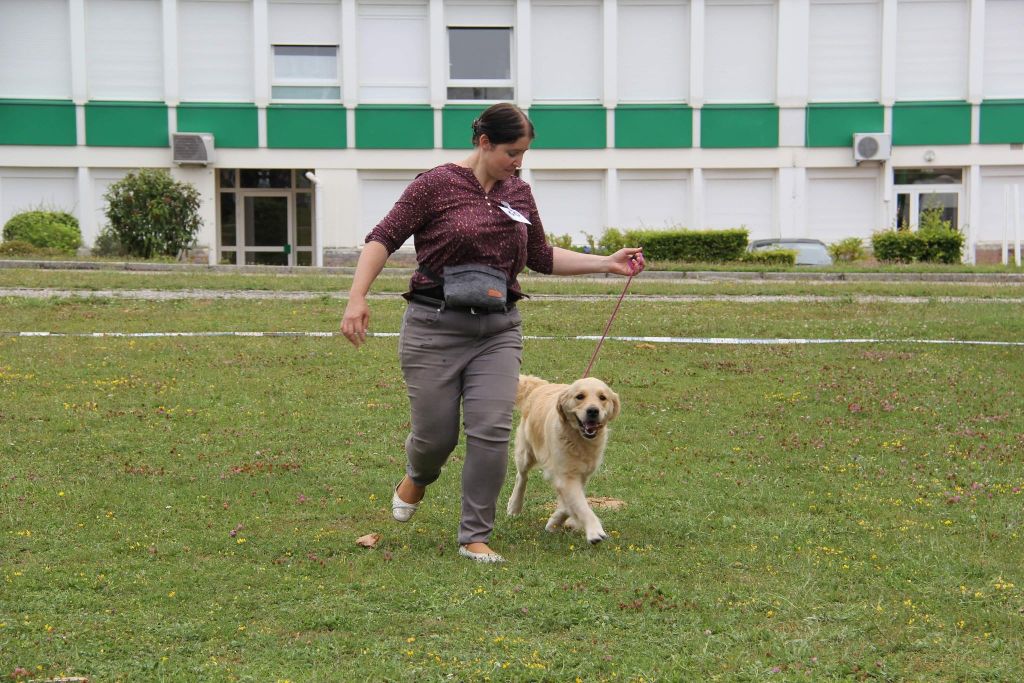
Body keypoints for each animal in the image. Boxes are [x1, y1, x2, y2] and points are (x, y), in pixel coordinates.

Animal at [505, 374, 618, 544]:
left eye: (602, 397)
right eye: (580, 396)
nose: (593, 410)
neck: (579, 439)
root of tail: (541, 386)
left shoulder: (581, 474)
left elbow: (569, 504)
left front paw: (554, 523)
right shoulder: (566, 476)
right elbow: (581, 505)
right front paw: (594, 531)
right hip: (526, 452)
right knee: (522, 476)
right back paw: (514, 506)